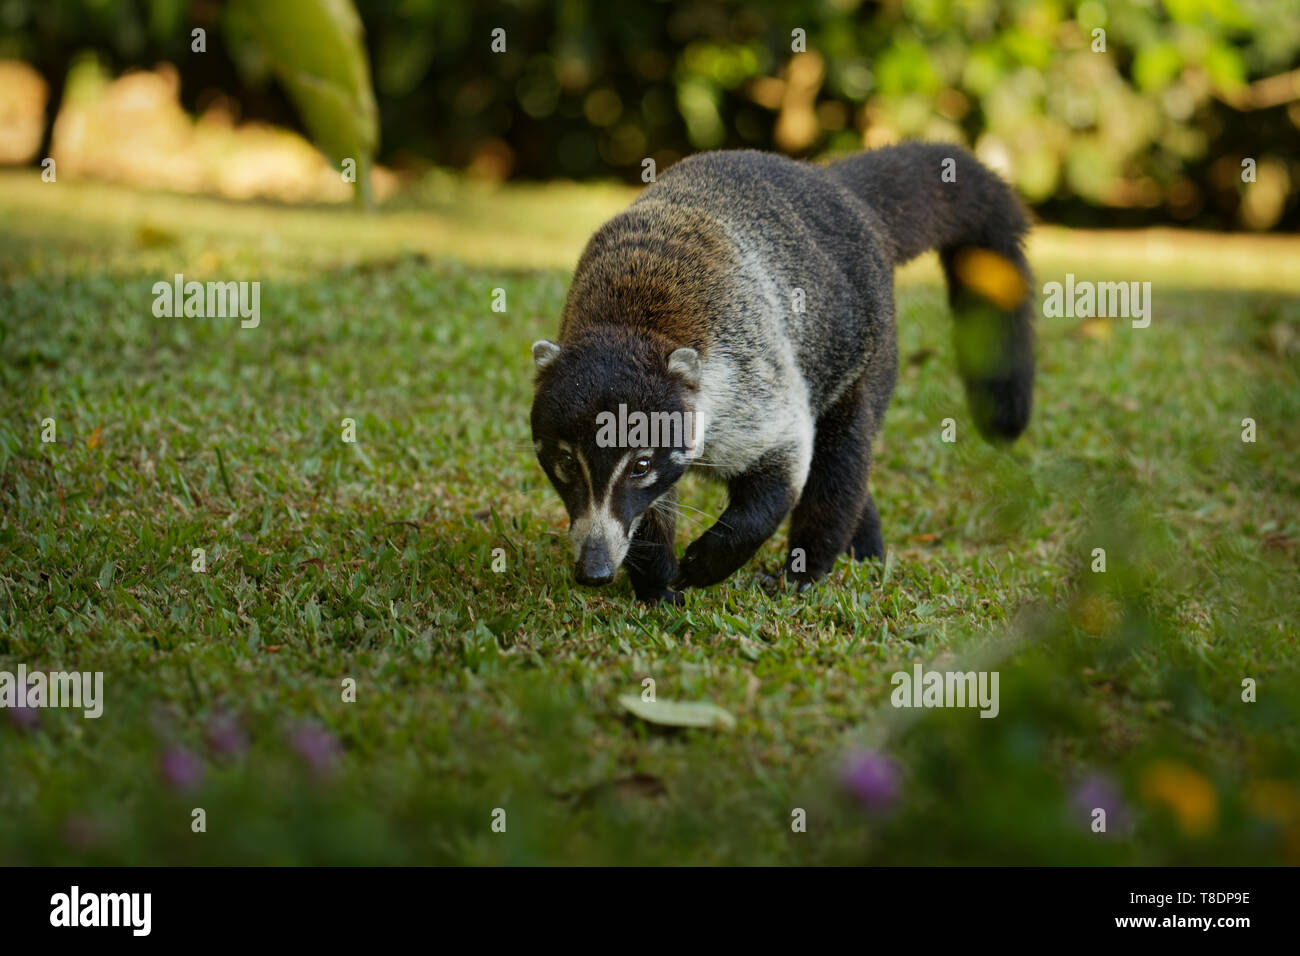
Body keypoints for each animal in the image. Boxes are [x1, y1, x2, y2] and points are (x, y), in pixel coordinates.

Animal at [530, 143, 1034, 604]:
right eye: (566, 462)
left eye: (640, 465)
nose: (594, 570)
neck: (632, 324)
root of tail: (838, 186)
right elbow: (651, 511)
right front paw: (656, 583)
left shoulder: (747, 372)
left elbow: (787, 459)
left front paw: (713, 559)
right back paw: (867, 552)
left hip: (866, 349)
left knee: (841, 458)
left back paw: (808, 568)